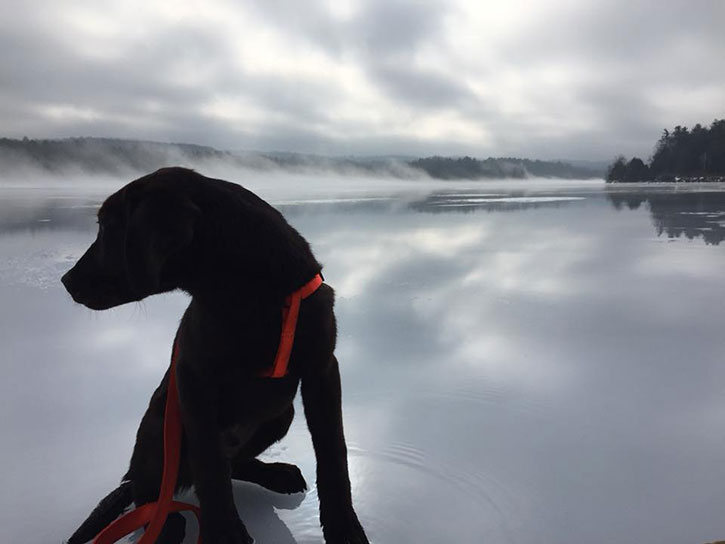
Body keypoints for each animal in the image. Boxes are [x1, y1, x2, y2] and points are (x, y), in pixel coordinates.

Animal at [58, 168, 368, 540]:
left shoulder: (322, 370)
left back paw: (276, 474)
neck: (250, 293)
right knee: (146, 487)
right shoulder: (195, 380)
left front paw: (344, 527)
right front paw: (224, 533)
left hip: (281, 414)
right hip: (161, 428)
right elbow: (211, 468)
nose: (66, 281)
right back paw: (165, 524)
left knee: (233, 464)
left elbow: (333, 454)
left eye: (106, 228)